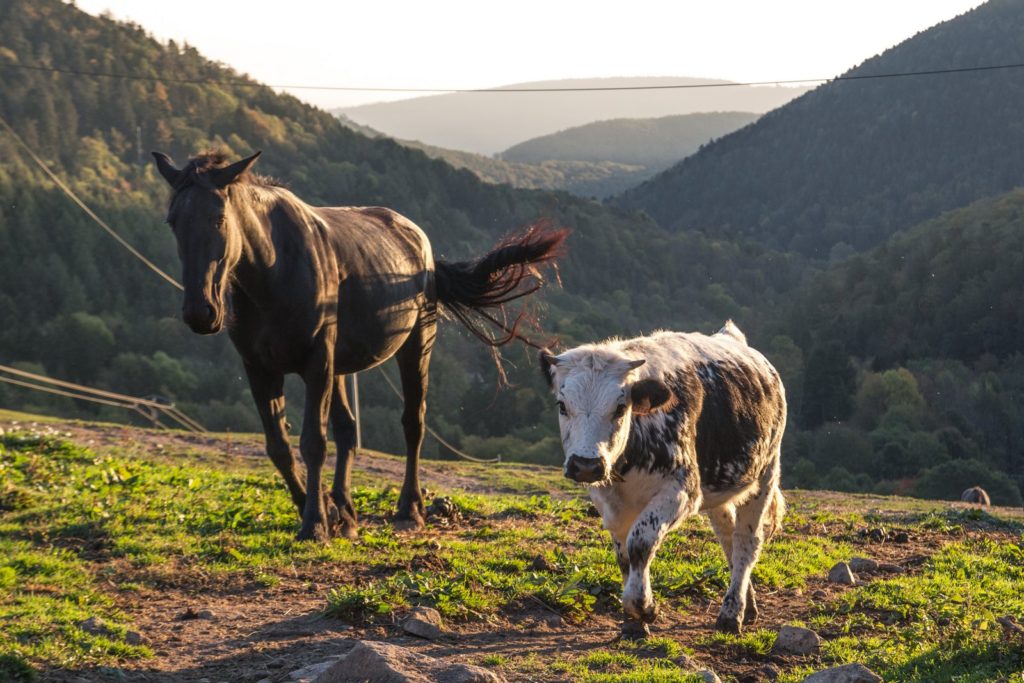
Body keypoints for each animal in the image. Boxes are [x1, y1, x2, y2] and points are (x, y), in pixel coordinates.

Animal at [153, 149, 569, 540]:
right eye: (173, 222)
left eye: (218, 219)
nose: (200, 313)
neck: (274, 270)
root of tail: (422, 245)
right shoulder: (260, 369)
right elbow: (280, 447)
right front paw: (322, 511)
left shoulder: (316, 364)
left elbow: (313, 443)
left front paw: (315, 523)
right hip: (340, 367)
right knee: (348, 430)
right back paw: (346, 510)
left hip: (415, 346)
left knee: (412, 423)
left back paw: (408, 508)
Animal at [540, 323, 786, 638]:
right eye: (562, 405)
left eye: (620, 407)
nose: (586, 465)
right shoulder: (609, 502)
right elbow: (624, 555)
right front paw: (633, 623)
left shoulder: (681, 491)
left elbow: (640, 542)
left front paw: (643, 607)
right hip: (720, 486)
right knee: (727, 535)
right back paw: (749, 605)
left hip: (765, 472)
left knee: (747, 542)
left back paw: (732, 614)